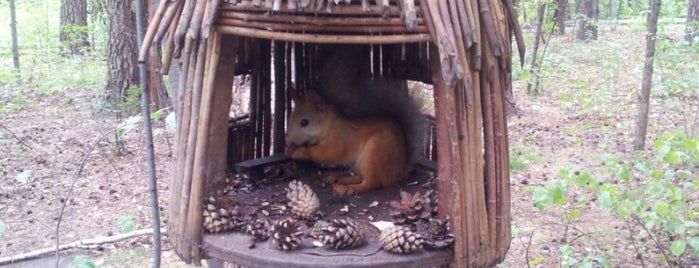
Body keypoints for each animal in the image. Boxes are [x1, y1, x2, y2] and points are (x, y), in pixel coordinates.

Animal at [284, 45, 424, 194]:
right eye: (290, 118)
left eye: (304, 122)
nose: (288, 141)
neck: (330, 126)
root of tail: (399, 171)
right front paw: (289, 149)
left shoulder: (340, 140)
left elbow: (326, 154)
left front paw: (299, 152)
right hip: (362, 162)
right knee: (360, 177)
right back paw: (337, 177)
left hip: (376, 151)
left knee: (371, 182)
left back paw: (347, 188)